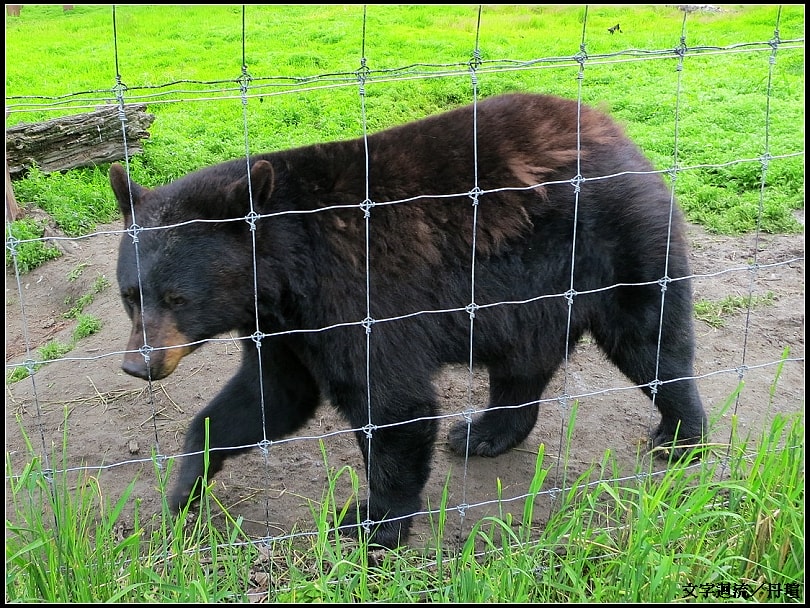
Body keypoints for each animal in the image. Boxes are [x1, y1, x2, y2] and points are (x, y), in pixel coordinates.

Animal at [110, 92, 708, 549]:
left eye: (179, 297)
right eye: (131, 296)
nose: (139, 365)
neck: (285, 270)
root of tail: (623, 135)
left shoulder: (357, 297)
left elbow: (393, 404)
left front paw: (371, 521)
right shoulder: (284, 327)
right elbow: (269, 397)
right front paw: (182, 491)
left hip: (613, 245)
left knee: (652, 340)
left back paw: (681, 436)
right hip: (532, 296)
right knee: (523, 363)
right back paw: (485, 433)